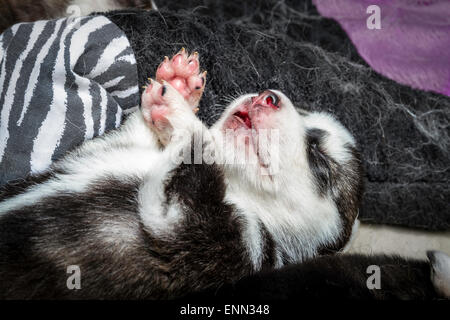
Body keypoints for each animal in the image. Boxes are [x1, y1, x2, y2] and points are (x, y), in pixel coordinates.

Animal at [0, 50, 364, 300]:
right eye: (302, 112)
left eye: (319, 157)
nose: (267, 97)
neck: (236, 190)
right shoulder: (112, 148)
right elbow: (143, 132)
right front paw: (180, 85)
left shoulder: (200, 233)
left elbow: (199, 142)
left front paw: (182, 112)